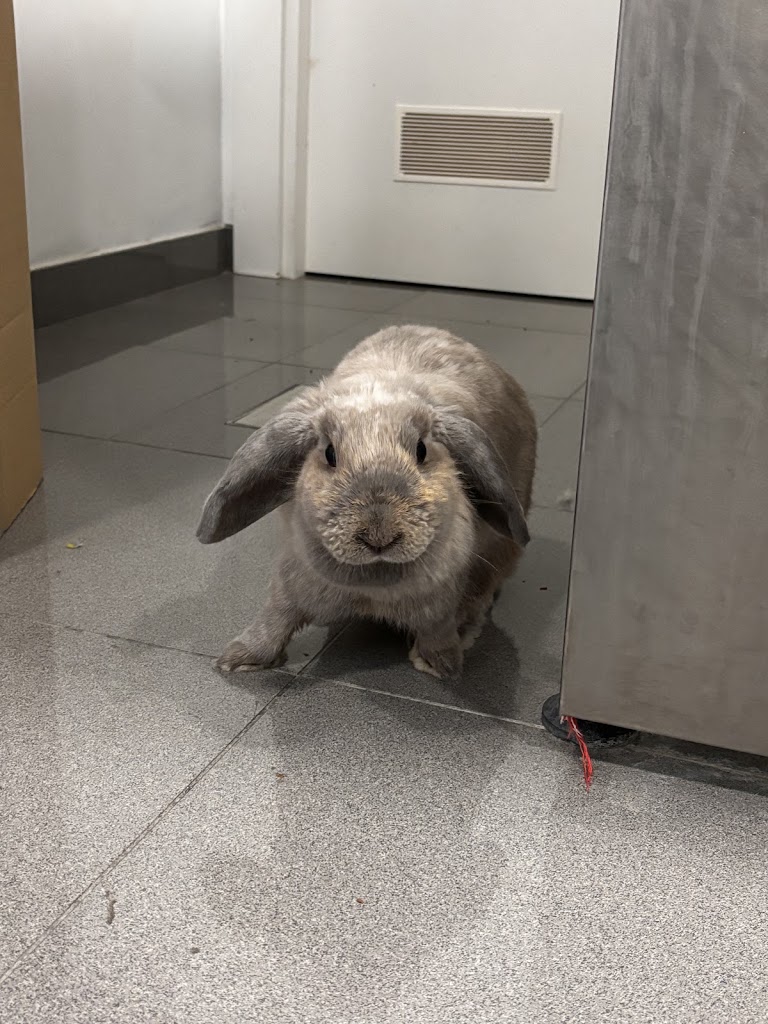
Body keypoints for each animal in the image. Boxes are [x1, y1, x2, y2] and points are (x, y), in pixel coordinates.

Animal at [196, 324, 537, 679]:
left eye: (422, 450)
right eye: (330, 454)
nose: (379, 536)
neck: (372, 586)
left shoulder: (442, 601)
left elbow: (439, 633)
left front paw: (440, 665)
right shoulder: (291, 580)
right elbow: (275, 618)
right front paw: (238, 660)